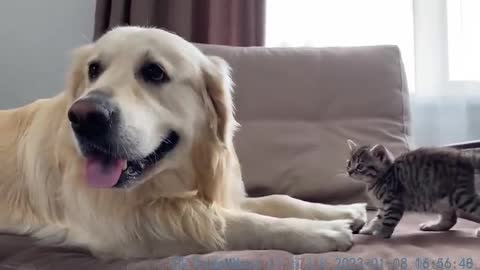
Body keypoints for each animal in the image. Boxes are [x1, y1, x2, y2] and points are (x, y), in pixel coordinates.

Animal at [0, 26, 366, 258]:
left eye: (154, 72)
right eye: (94, 69)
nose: (84, 116)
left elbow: (277, 199)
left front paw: (344, 211)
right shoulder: (126, 228)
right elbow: (236, 223)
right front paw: (321, 232)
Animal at [344, 140, 480, 239]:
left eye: (360, 166)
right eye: (349, 163)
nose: (349, 172)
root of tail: (464, 156)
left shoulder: (394, 202)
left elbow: (388, 220)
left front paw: (382, 233)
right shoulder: (383, 207)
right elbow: (378, 219)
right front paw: (368, 229)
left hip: (461, 196)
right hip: (441, 199)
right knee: (451, 219)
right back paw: (434, 226)